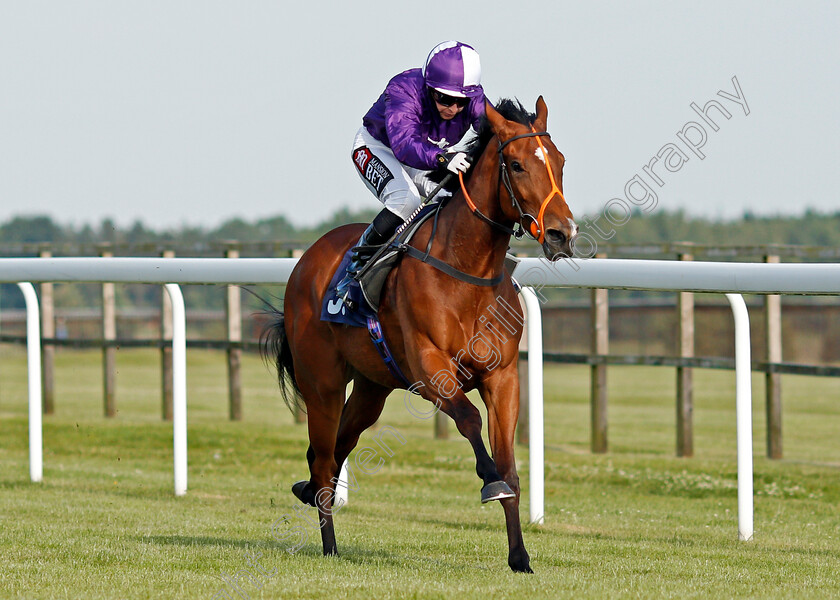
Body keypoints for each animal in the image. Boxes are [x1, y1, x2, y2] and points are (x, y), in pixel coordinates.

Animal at [262, 97, 576, 572]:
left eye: (559, 161)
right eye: (518, 165)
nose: (562, 233)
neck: (466, 270)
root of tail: (307, 261)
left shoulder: (502, 377)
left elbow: (511, 465)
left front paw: (520, 556)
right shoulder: (431, 370)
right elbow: (470, 420)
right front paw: (489, 481)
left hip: (371, 388)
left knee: (336, 449)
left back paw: (310, 495)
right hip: (323, 384)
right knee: (323, 455)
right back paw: (329, 544)